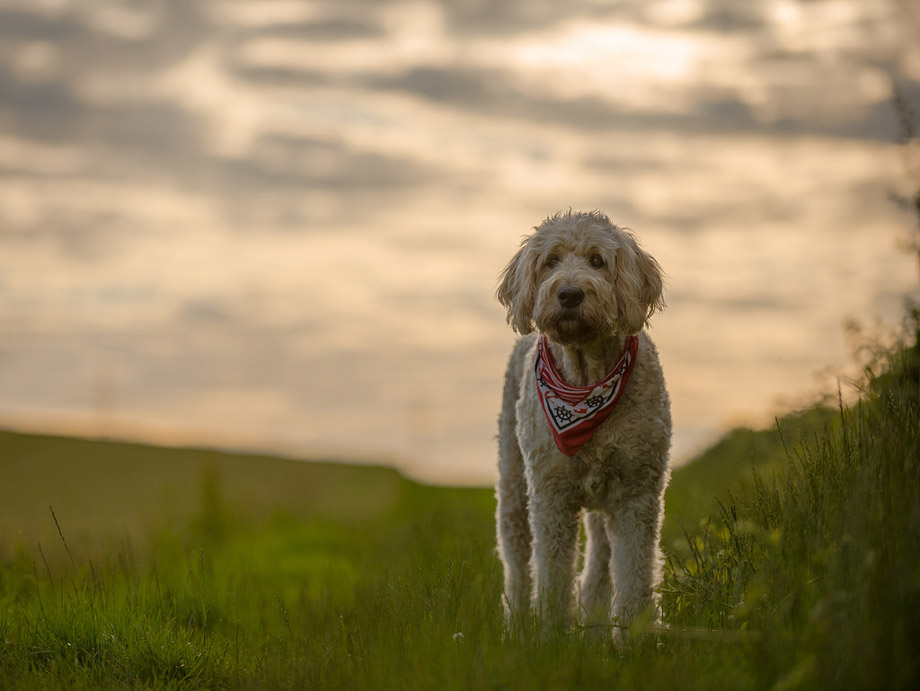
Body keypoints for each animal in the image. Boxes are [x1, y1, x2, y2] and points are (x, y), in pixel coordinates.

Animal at [496, 208, 668, 640]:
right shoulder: (550, 496)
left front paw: (633, 638)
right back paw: (516, 624)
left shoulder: (637, 494)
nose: (570, 294)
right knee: (517, 563)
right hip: (514, 486)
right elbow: (553, 575)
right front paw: (551, 637)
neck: (586, 379)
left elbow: (634, 572)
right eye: (551, 261)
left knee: (599, 566)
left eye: (597, 261)